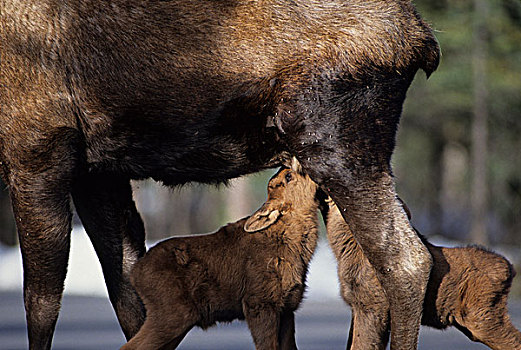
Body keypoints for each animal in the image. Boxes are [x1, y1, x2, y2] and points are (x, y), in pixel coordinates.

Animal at [122, 167, 316, 350]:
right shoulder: (258, 302)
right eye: (289, 176)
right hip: (172, 313)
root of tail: (134, 274)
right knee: (131, 346)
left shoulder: (288, 308)